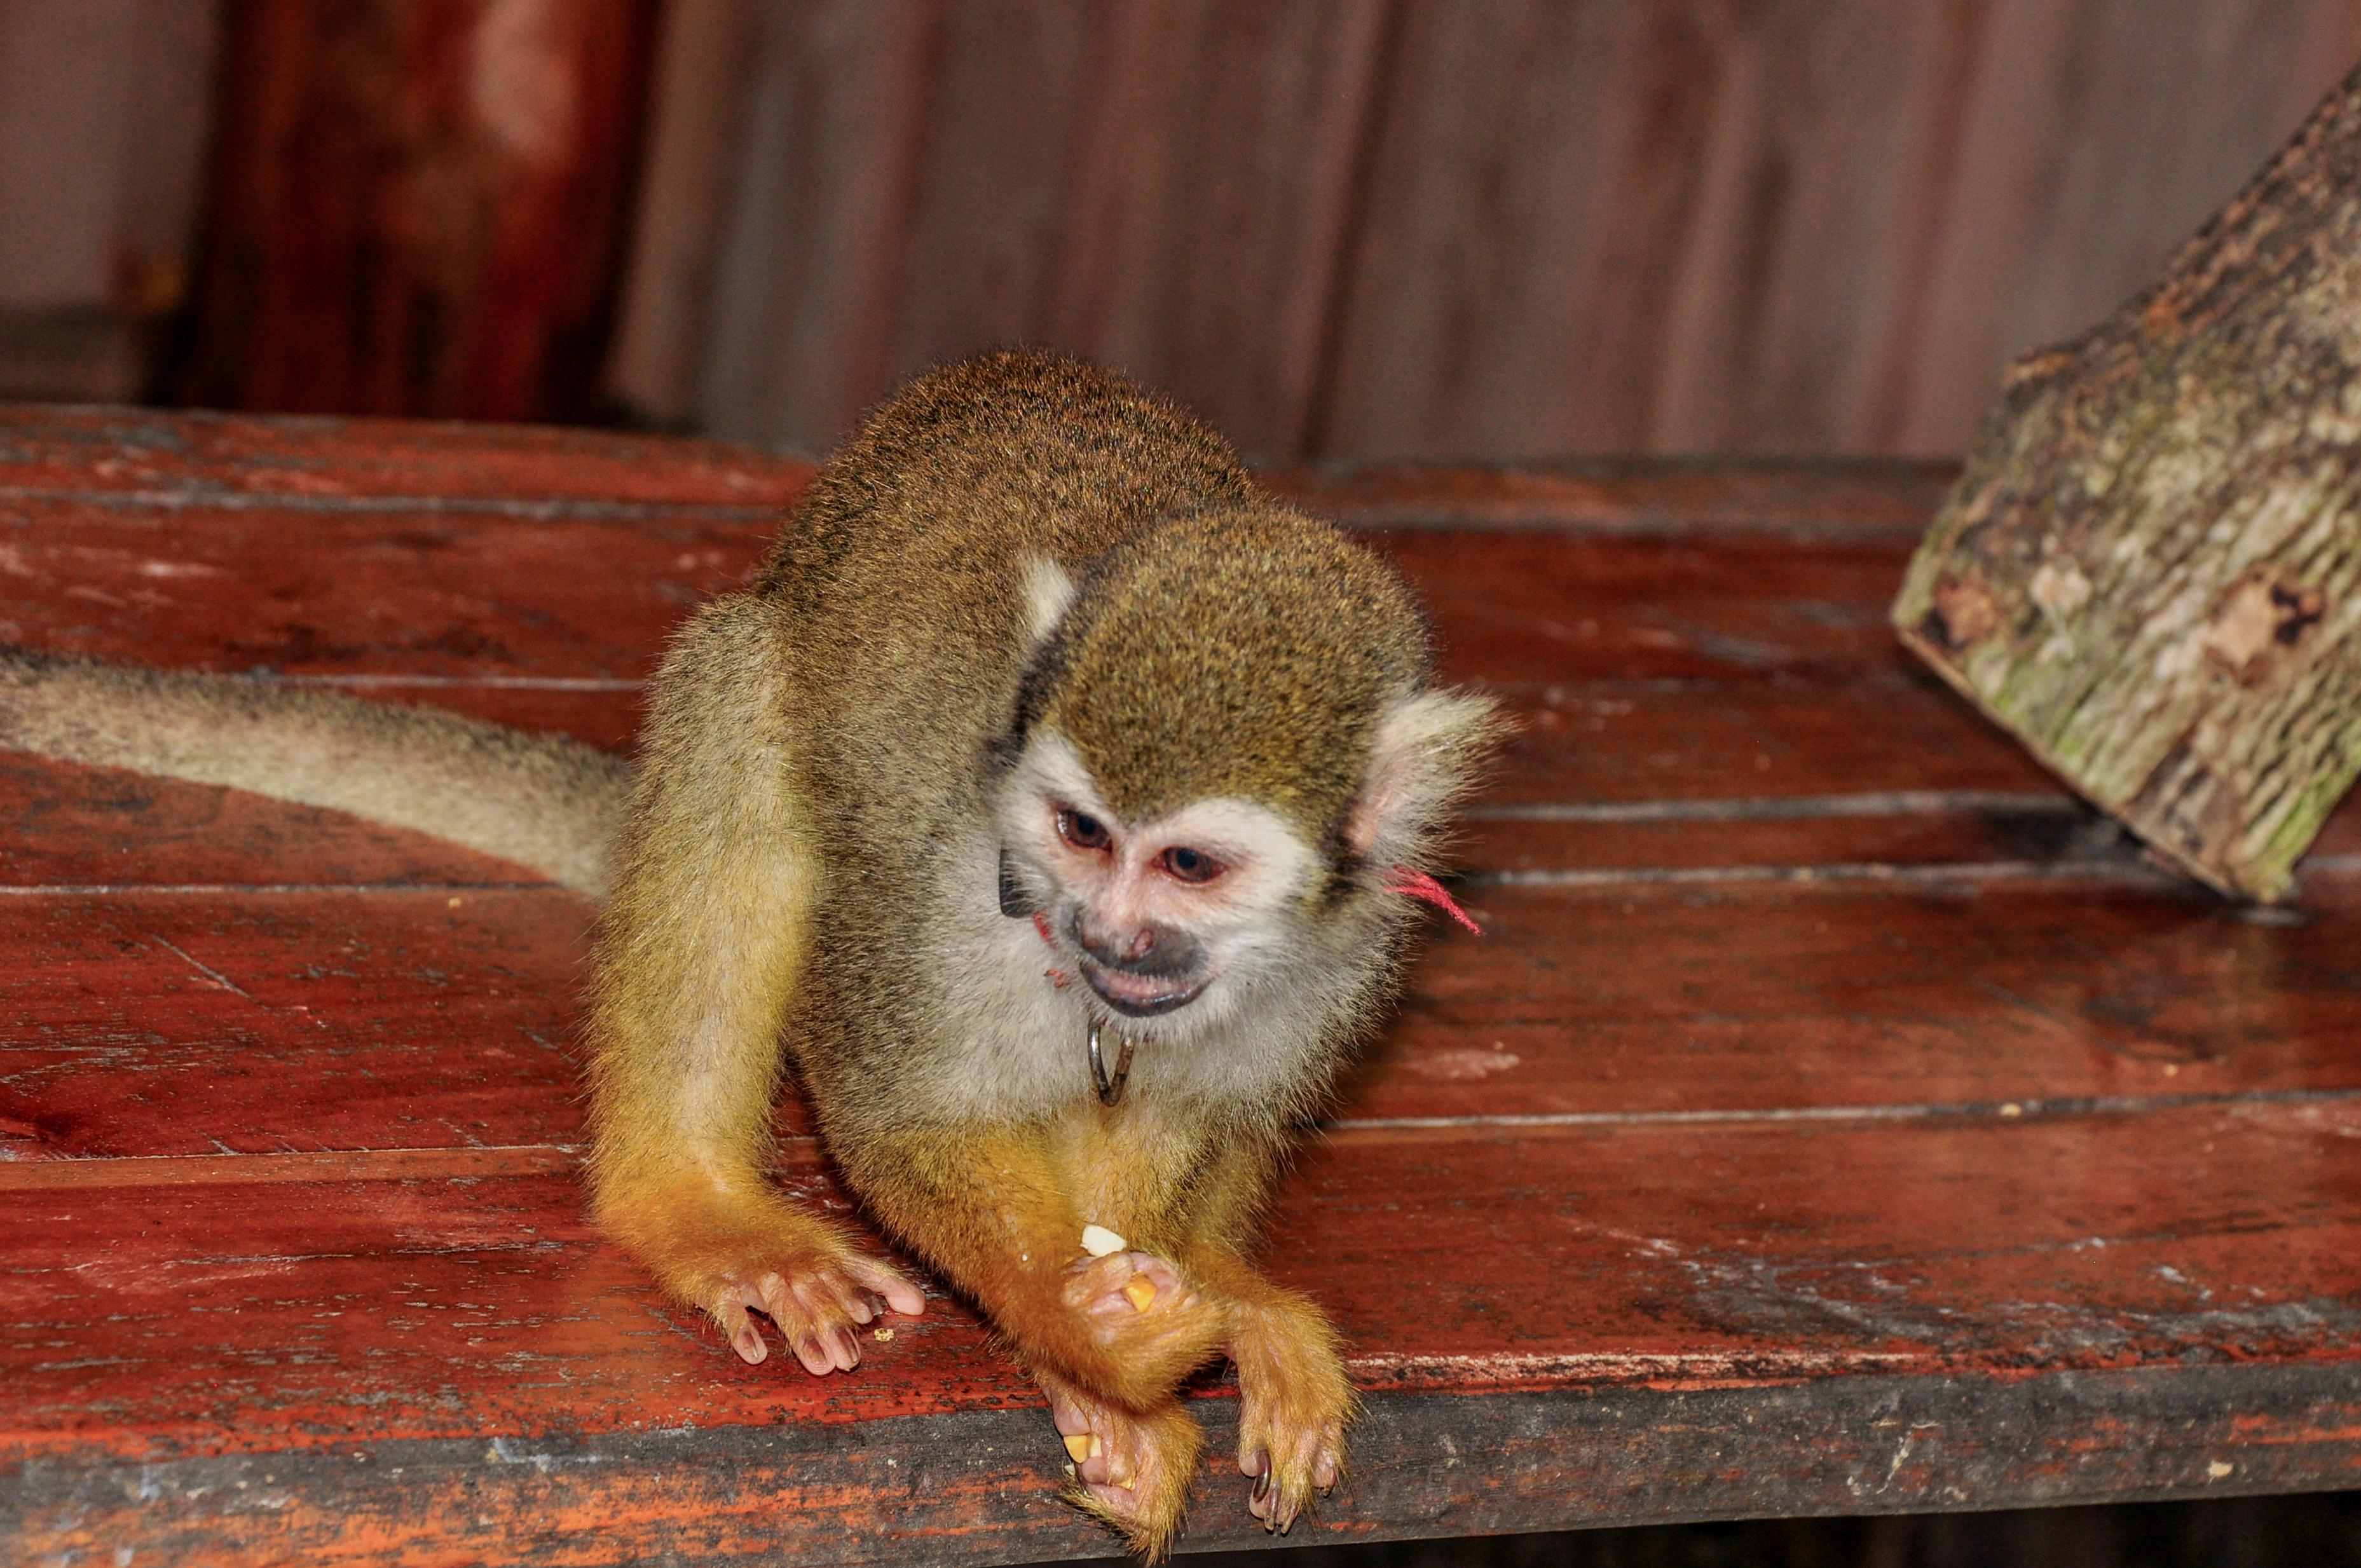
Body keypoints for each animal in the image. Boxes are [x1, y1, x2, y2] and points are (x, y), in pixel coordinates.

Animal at [0, 351, 1498, 1560]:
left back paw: (1236, 1289)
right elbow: (891, 1109)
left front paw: (1157, 1317)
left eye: (1187, 866)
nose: (1106, 935)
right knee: (745, 702)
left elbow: (1193, 1109)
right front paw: (1087, 1343)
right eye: (1080, 834)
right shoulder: (945, 887)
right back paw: (697, 1206)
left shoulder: (1351, 941)